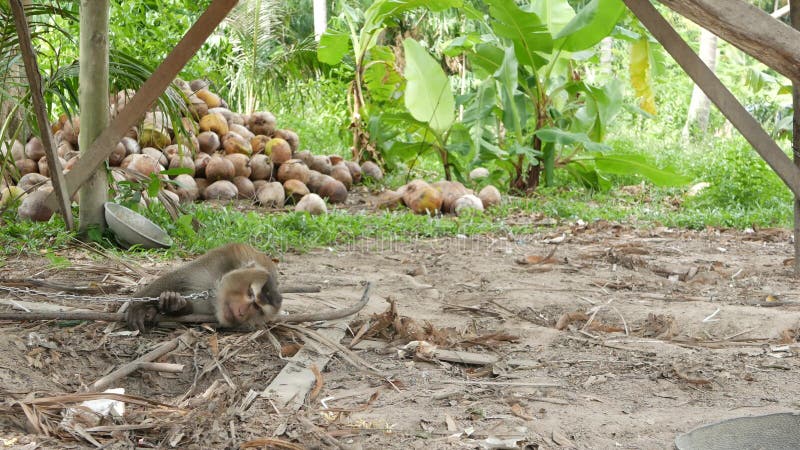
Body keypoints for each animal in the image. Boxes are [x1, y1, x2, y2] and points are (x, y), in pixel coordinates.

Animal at [126, 244, 282, 332]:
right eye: (250, 293)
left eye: (258, 309)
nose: (242, 312)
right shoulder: (214, 265)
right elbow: (178, 277)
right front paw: (138, 306)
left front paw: (175, 304)